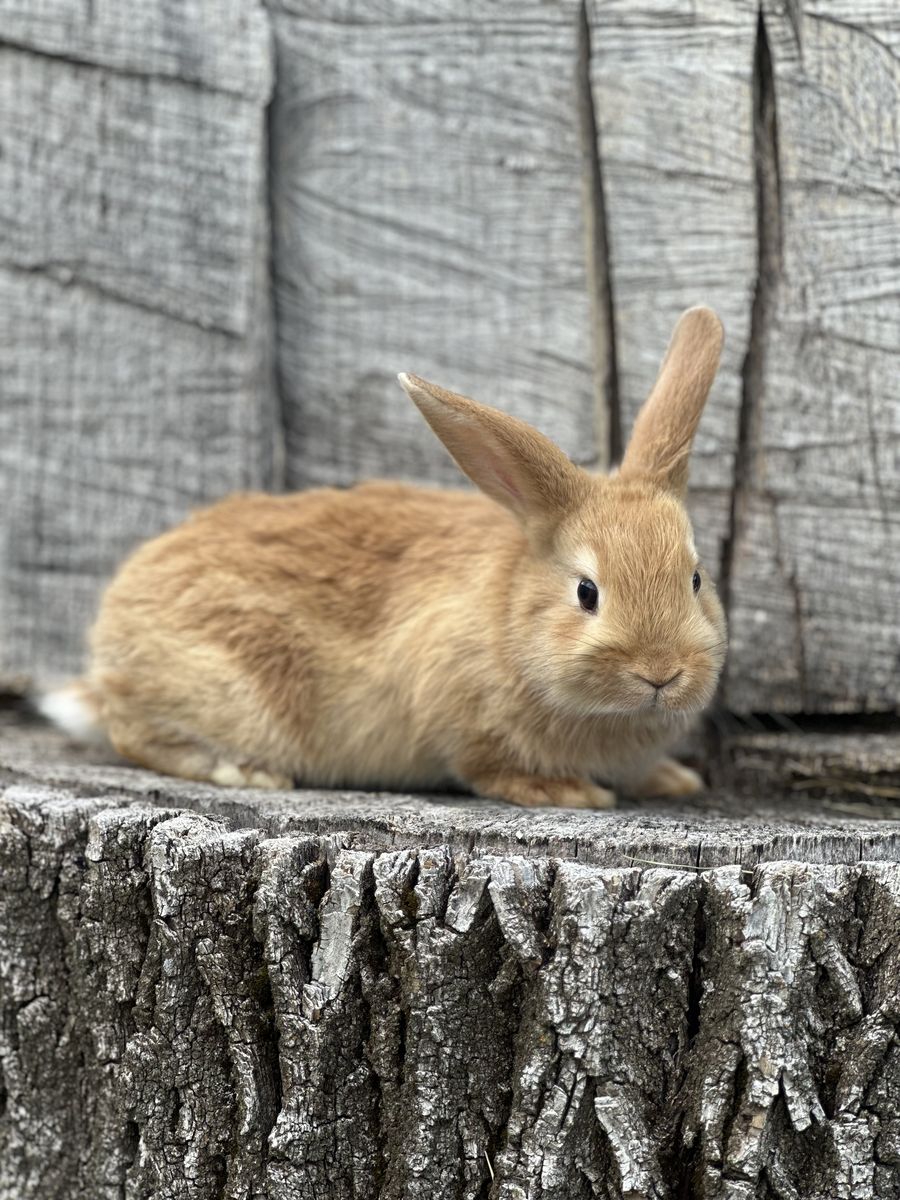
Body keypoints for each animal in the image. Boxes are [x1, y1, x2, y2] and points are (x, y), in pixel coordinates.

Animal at [41, 306, 727, 810]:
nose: (661, 674)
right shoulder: (463, 719)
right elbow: (490, 769)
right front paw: (572, 794)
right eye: (587, 592)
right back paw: (246, 773)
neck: (512, 618)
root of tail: (110, 635)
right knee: (133, 732)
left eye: (695, 579)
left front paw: (672, 781)